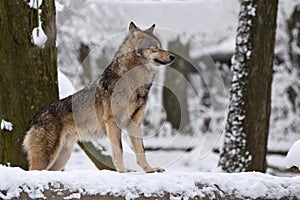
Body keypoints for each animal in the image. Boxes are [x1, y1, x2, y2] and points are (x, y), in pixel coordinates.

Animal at [23, 21, 176, 172]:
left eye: (161, 46)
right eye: (154, 48)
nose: (172, 56)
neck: (135, 83)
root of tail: (34, 118)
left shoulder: (135, 123)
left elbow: (141, 151)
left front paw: (149, 169)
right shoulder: (112, 122)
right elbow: (118, 152)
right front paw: (123, 172)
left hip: (61, 159)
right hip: (46, 159)